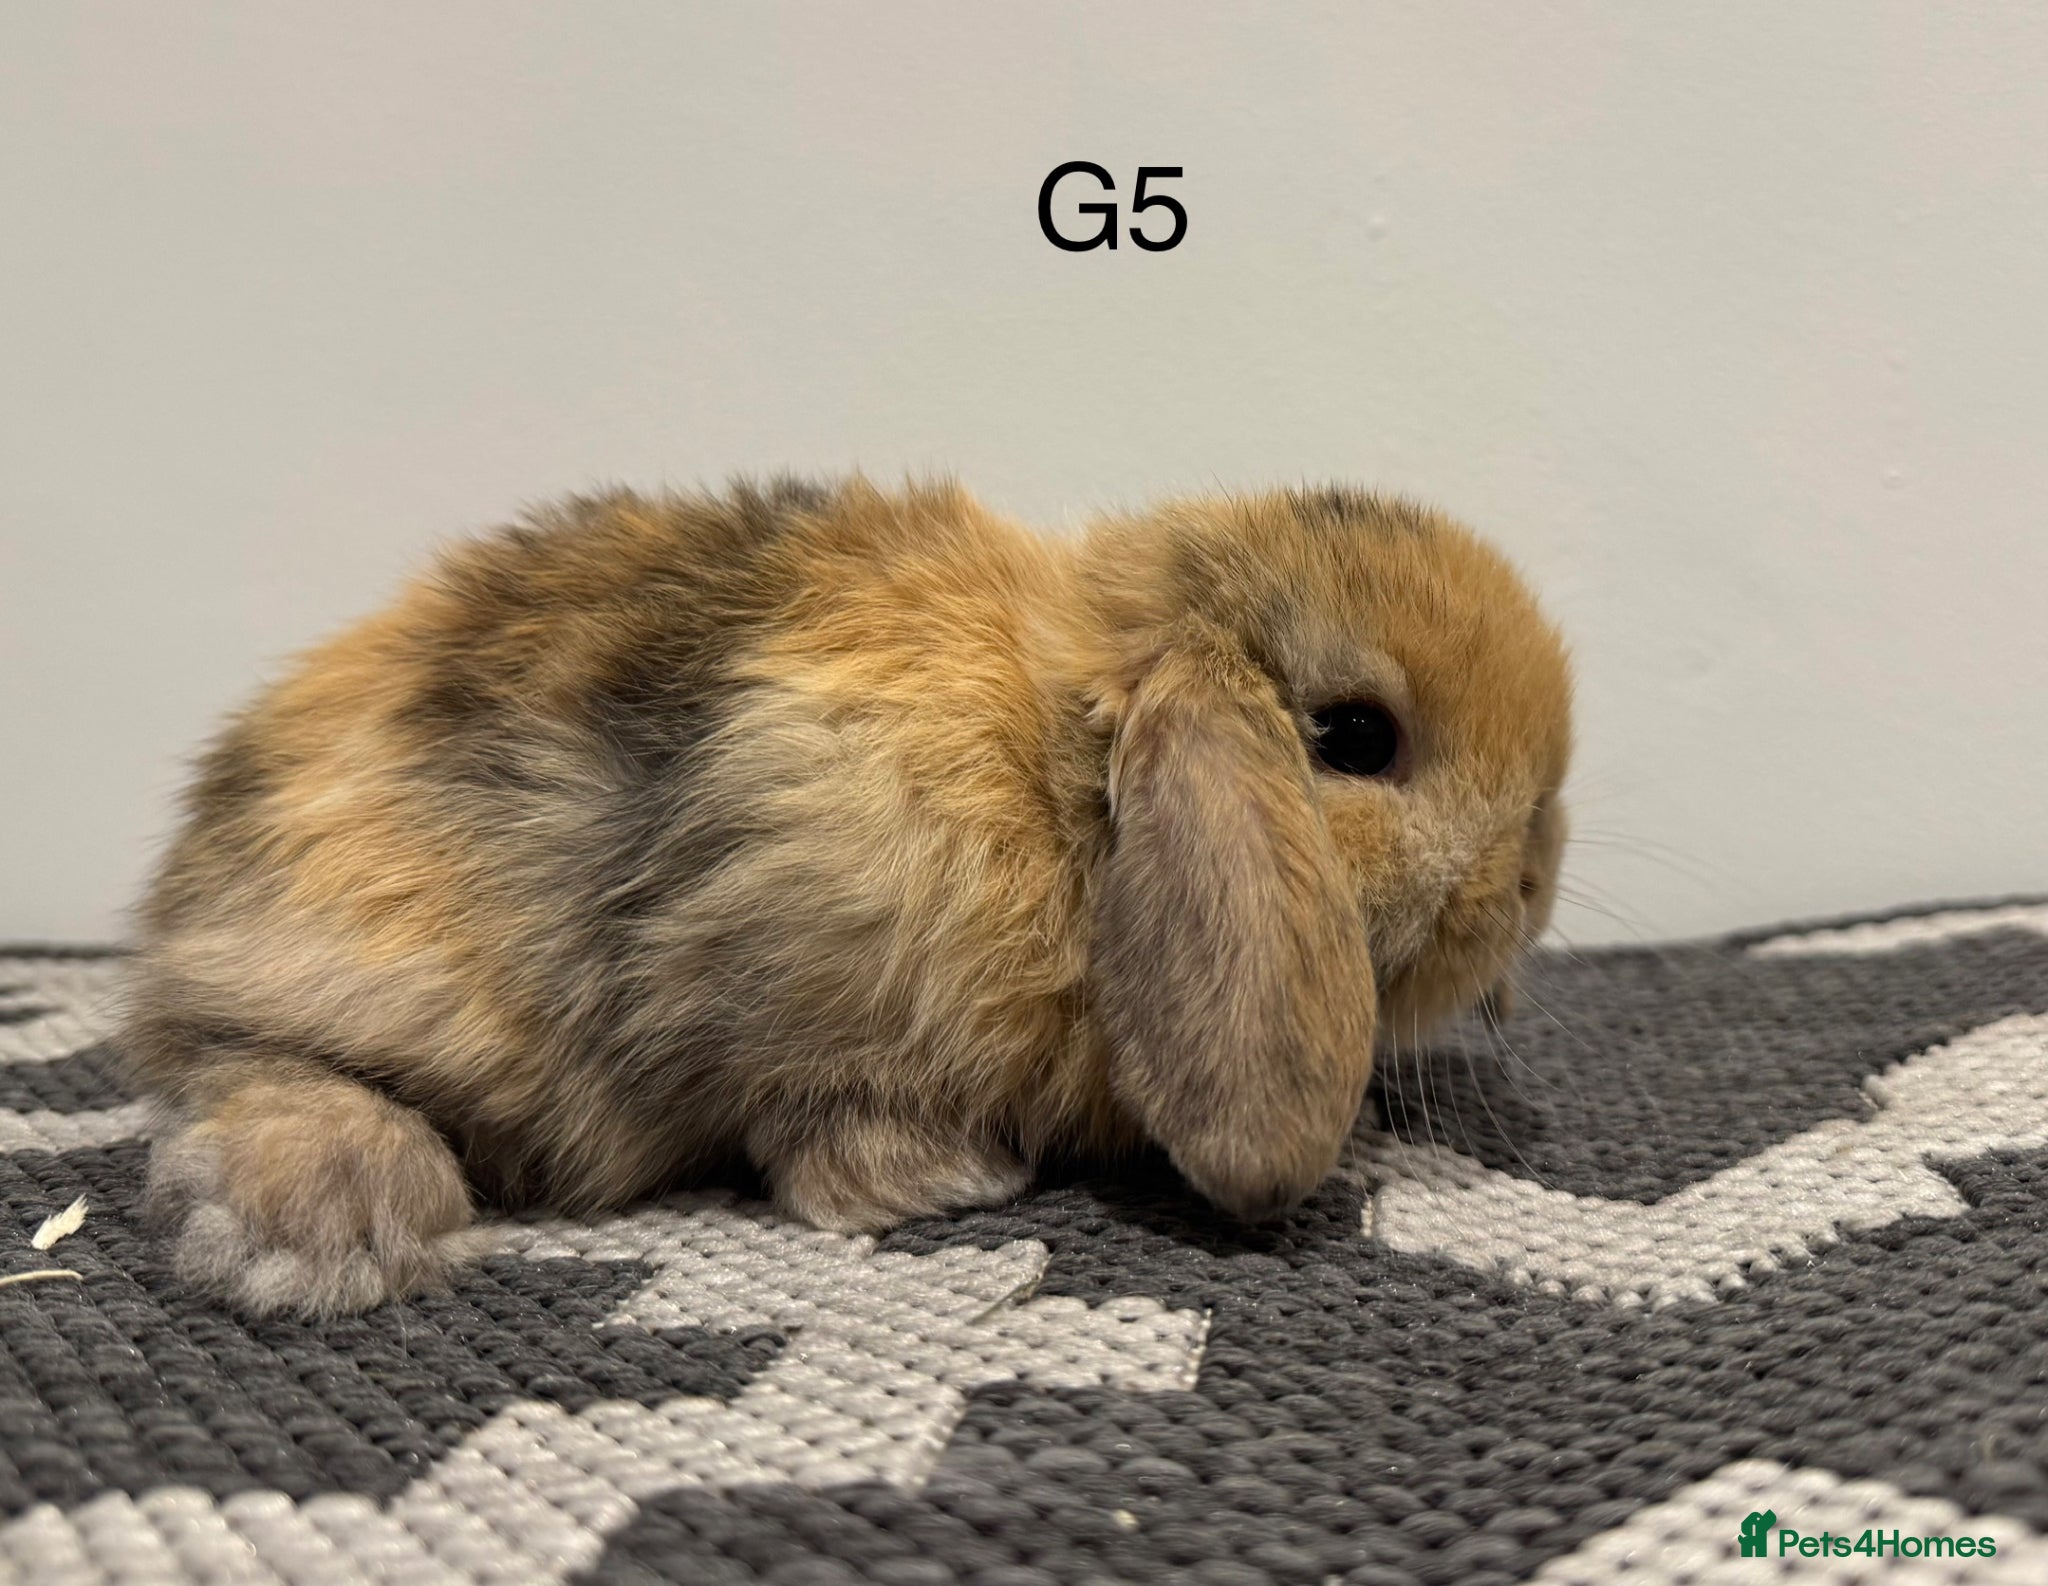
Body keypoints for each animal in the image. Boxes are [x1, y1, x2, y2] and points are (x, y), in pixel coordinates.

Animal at [122, 476, 1573, 1317]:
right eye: (1354, 737)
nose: (1529, 879)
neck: (1061, 785)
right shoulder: (807, 976)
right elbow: (824, 1115)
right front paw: (946, 1186)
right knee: (236, 1052)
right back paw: (323, 1228)